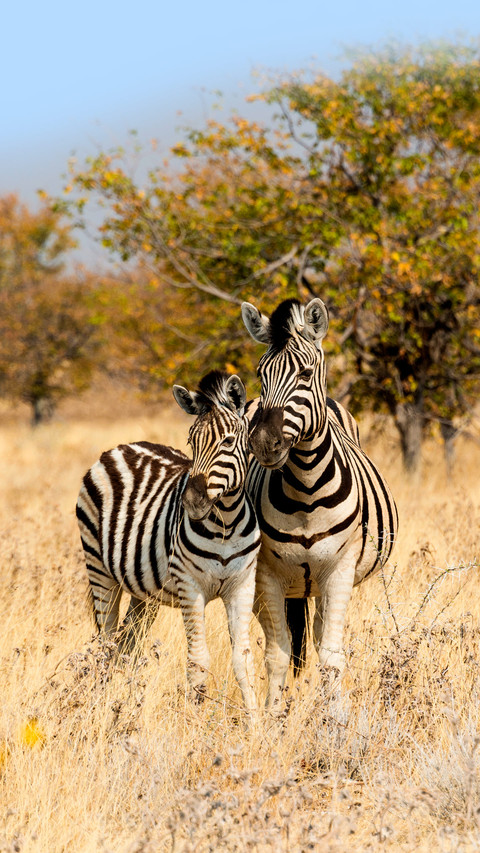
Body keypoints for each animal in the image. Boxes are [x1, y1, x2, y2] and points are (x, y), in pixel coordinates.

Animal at [76, 371, 261, 711]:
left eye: (229, 441)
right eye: (191, 442)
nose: (193, 503)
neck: (226, 523)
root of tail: (120, 447)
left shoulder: (242, 584)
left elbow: (244, 661)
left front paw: (257, 722)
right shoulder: (190, 585)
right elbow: (199, 663)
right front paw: (196, 720)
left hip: (143, 592)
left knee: (127, 645)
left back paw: (125, 703)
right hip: (99, 569)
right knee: (106, 643)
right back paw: (100, 706)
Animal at [241, 297, 398, 709]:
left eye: (305, 373)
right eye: (261, 374)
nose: (263, 443)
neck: (307, 493)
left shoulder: (340, 570)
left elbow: (331, 656)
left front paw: (336, 719)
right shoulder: (266, 575)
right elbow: (277, 656)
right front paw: (274, 716)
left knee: (318, 635)